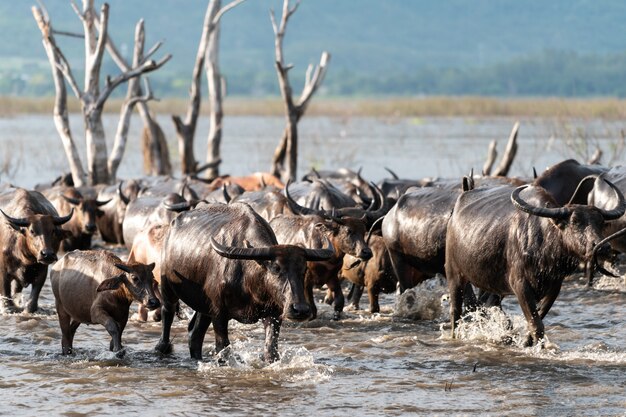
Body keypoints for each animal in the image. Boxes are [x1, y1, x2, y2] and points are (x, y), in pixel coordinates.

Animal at [154, 202, 334, 360]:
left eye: (303, 269)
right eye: (276, 268)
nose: (301, 310)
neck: (250, 283)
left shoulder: (274, 314)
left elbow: (270, 350)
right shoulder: (219, 314)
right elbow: (223, 348)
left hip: (203, 307)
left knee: (195, 335)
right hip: (168, 289)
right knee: (167, 315)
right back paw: (162, 347)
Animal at [444, 181, 624, 344]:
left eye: (601, 223)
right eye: (575, 222)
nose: (602, 247)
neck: (544, 245)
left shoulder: (555, 286)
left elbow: (538, 317)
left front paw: (527, 342)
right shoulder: (520, 285)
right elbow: (536, 323)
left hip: (492, 285)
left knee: (487, 304)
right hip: (454, 275)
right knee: (456, 311)